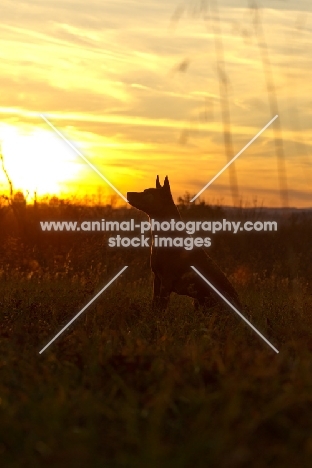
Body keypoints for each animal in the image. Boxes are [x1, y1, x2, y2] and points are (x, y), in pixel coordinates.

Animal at [127, 176, 241, 310]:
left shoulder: (166, 280)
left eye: (147, 192)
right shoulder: (157, 279)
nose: (127, 193)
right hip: (197, 302)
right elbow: (154, 306)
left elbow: (161, 308)